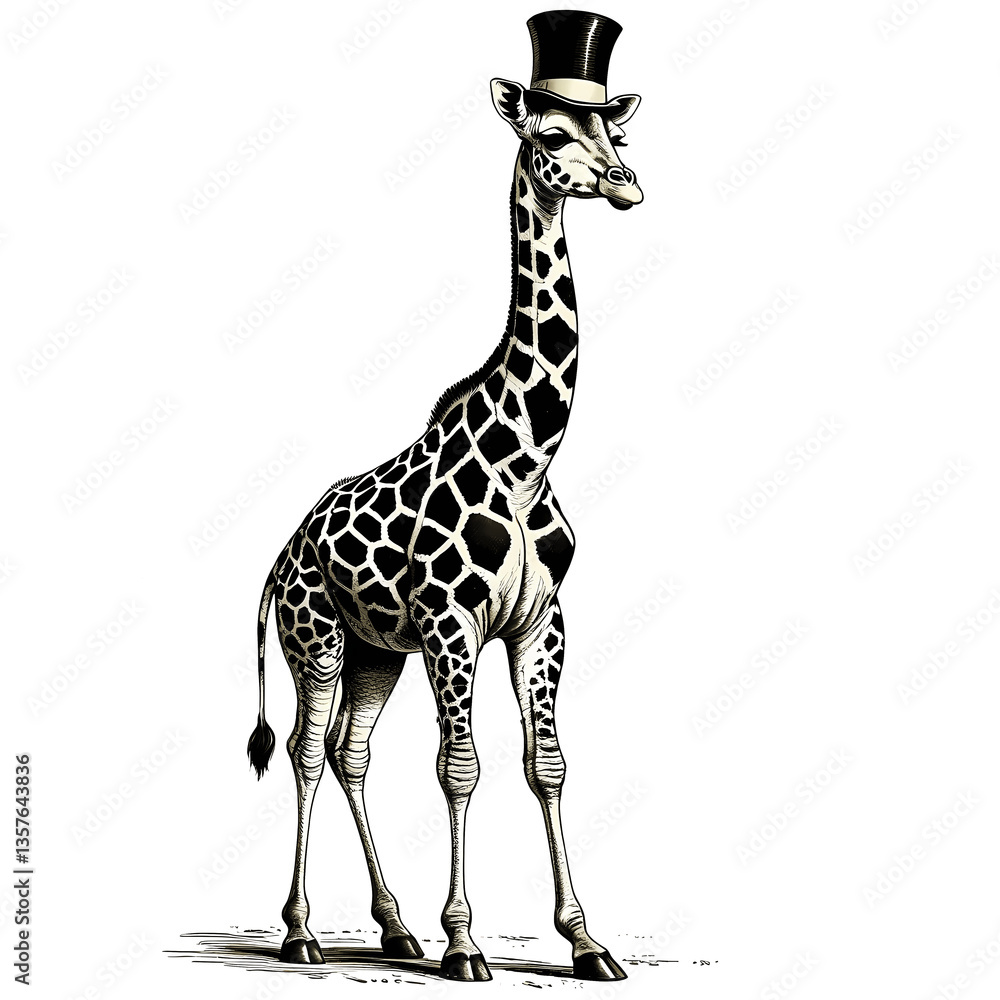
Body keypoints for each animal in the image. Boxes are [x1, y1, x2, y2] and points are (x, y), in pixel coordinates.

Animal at [246, 12, 643, 983]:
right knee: (307, 752)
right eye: (550, 136)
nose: (627, 185)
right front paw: (466, 942)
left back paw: (394, 927)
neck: (525, 456)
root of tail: (279, 558)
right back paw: (303, 932)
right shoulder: (451, 622)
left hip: (374, 651)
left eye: (616, 135)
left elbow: (548, 764)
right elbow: (459, 766)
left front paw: (586, 941)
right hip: (317, 640)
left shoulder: (540, 622)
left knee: (350, 753)